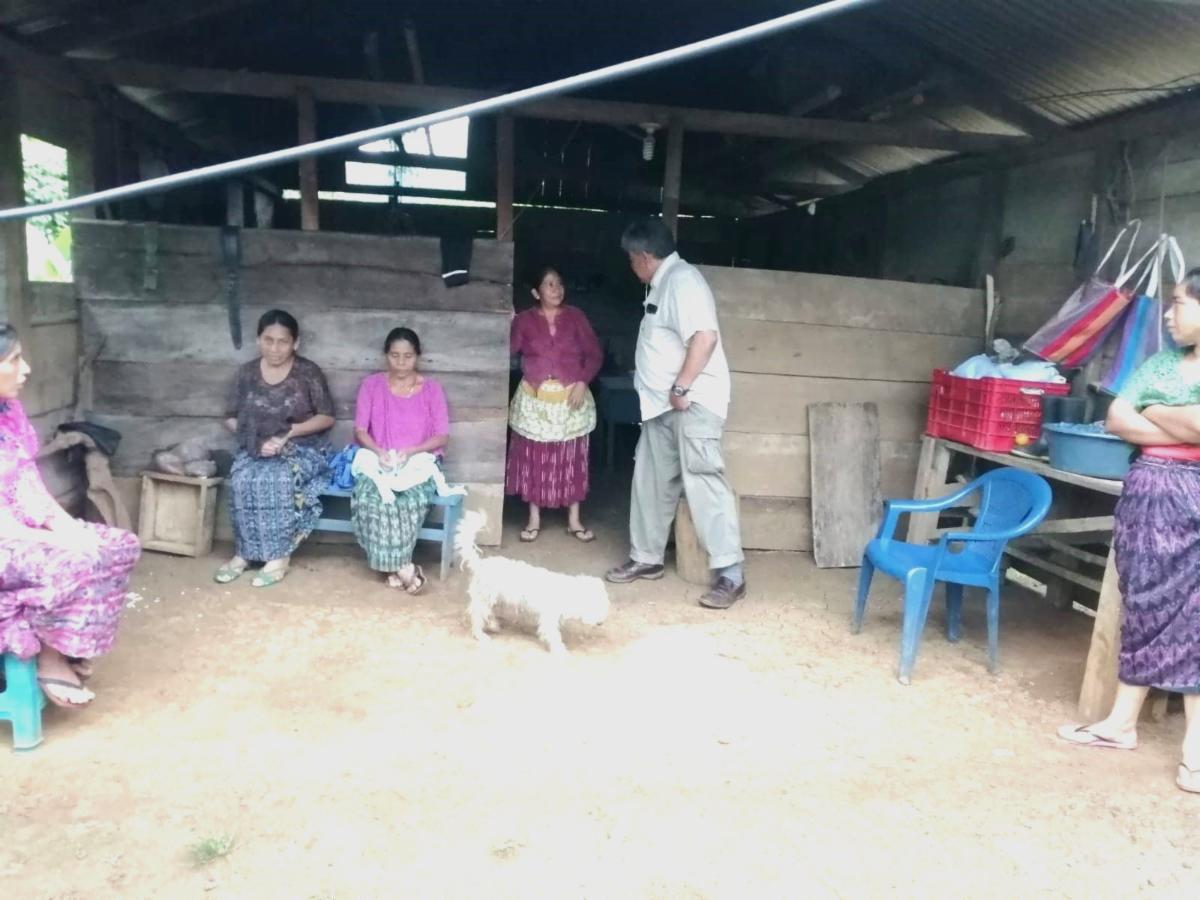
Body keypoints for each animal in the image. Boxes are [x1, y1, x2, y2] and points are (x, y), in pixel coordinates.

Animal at [455, 509, 610, 654]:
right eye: (595, 605)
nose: (601, 623)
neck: (567, 592)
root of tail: (480, 564)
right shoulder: (549, 618)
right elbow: (553, 635)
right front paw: (559, 650)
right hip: (484, 598)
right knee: (477, 616)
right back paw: (480, 635)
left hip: (490, 599)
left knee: (487, 614)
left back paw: (493, 625)